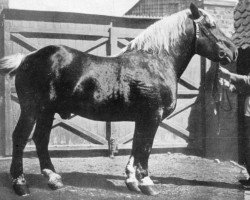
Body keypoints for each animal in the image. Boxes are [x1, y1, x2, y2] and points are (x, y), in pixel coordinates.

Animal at [0, 2, 237, 197]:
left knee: (41, 139)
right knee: (20, 138)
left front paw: (132, 181)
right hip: (31, 109)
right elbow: (145, 149)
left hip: (47, 112)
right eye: (210, 26)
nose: (233, 52)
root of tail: (27, 58)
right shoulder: (153, 116)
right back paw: (21, 184)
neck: (155, 62)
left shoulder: (142, 118)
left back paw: (54, 179)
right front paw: (147, 183)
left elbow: (136, 147)